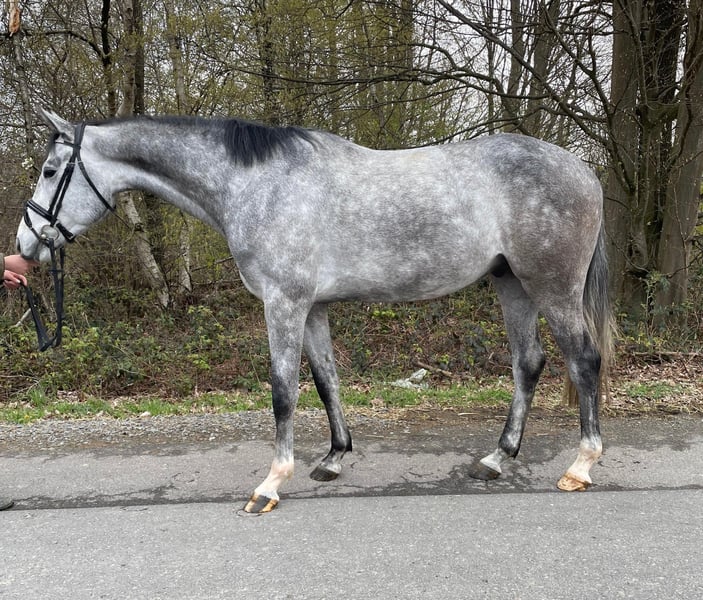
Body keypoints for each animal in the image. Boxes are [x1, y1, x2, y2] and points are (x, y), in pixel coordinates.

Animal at [16, 108, 613, 513]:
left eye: (49, 170)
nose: (25, 246)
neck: (255, 184)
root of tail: (585, 172)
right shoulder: (314, 307)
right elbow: (326, 380)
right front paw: (332, 458)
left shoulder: (284, 303)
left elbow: (284, 390)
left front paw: (271, 482)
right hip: (513, 285)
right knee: (528, 363)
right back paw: (497, 457)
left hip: (552, 287)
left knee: (583, 360)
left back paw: (581, 465)